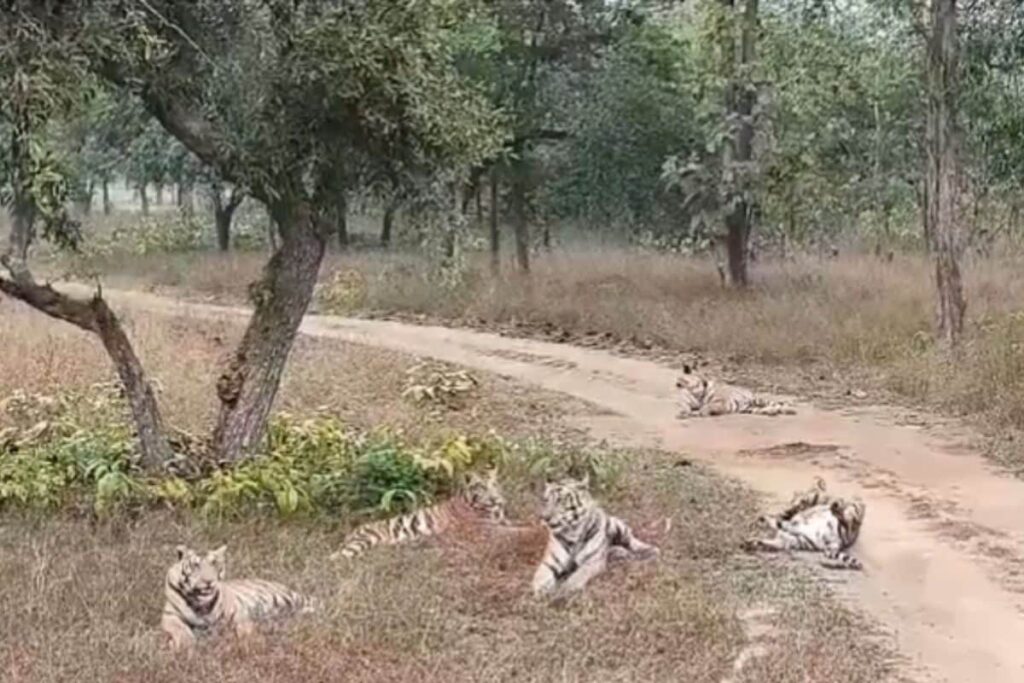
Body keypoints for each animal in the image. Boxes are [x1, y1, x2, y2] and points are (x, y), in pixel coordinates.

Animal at [161, 545, 318, 650]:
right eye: (195, 565)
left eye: (215, 564)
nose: (209, 581)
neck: (201, 603)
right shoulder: (169, 615)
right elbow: (180, 629)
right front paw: (185, 645)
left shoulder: (237, 611)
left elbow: (245, 627)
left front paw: (252, 642)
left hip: (287, 597)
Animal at [330, 468, 508, 561]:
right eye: (481, 486)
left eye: (494, 484)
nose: (495, 498)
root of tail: (351, 532)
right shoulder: (486, 529)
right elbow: (511, 532)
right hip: (365, 540)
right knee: (336, 558)